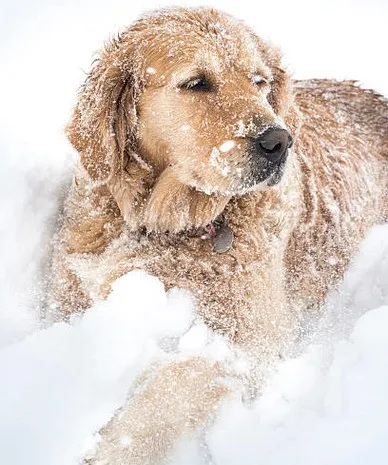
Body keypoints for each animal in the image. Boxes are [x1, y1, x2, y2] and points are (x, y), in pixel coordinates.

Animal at [48, 7, 388, 464]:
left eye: (259, 82)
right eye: (196, 83)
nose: (279, 141)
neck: (159, 224)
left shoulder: (251, 341)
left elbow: (173, 386)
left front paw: (110, 449)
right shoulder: (65, 297)